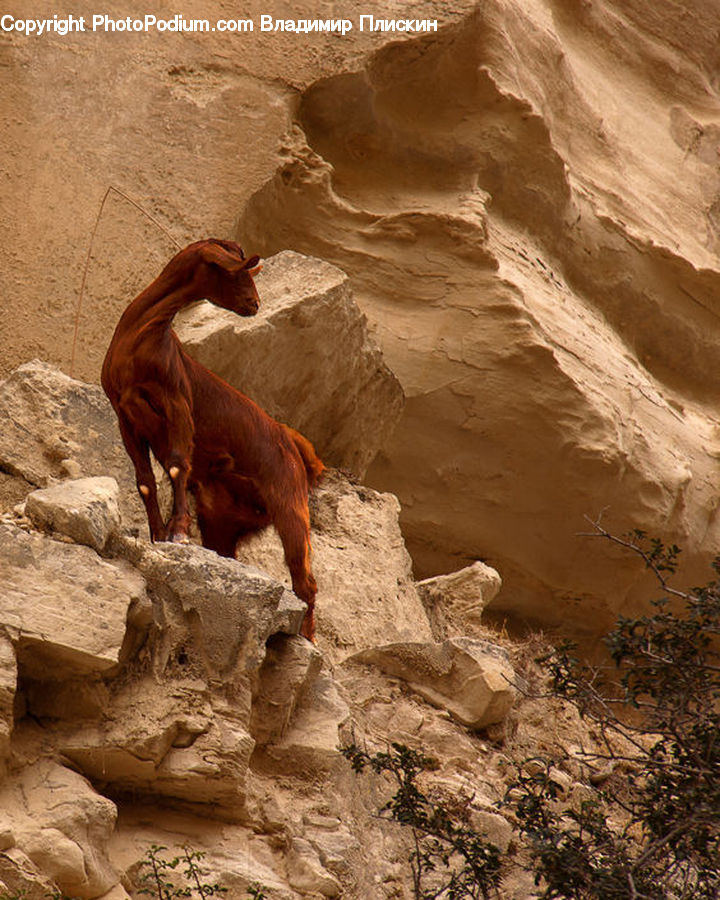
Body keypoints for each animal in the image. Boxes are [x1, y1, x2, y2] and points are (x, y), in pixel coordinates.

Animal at [100, 239, 324, 640]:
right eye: (238, 273)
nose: (255, 305)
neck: (141, 339)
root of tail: (296, 448)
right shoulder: (124, 416)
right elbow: (145, 481)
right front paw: (158, 534)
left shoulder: (178, 405)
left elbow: (177, 466)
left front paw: (177, 532)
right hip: (222, 521)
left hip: (290, 503)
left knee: (305, 580)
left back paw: (307, 638)